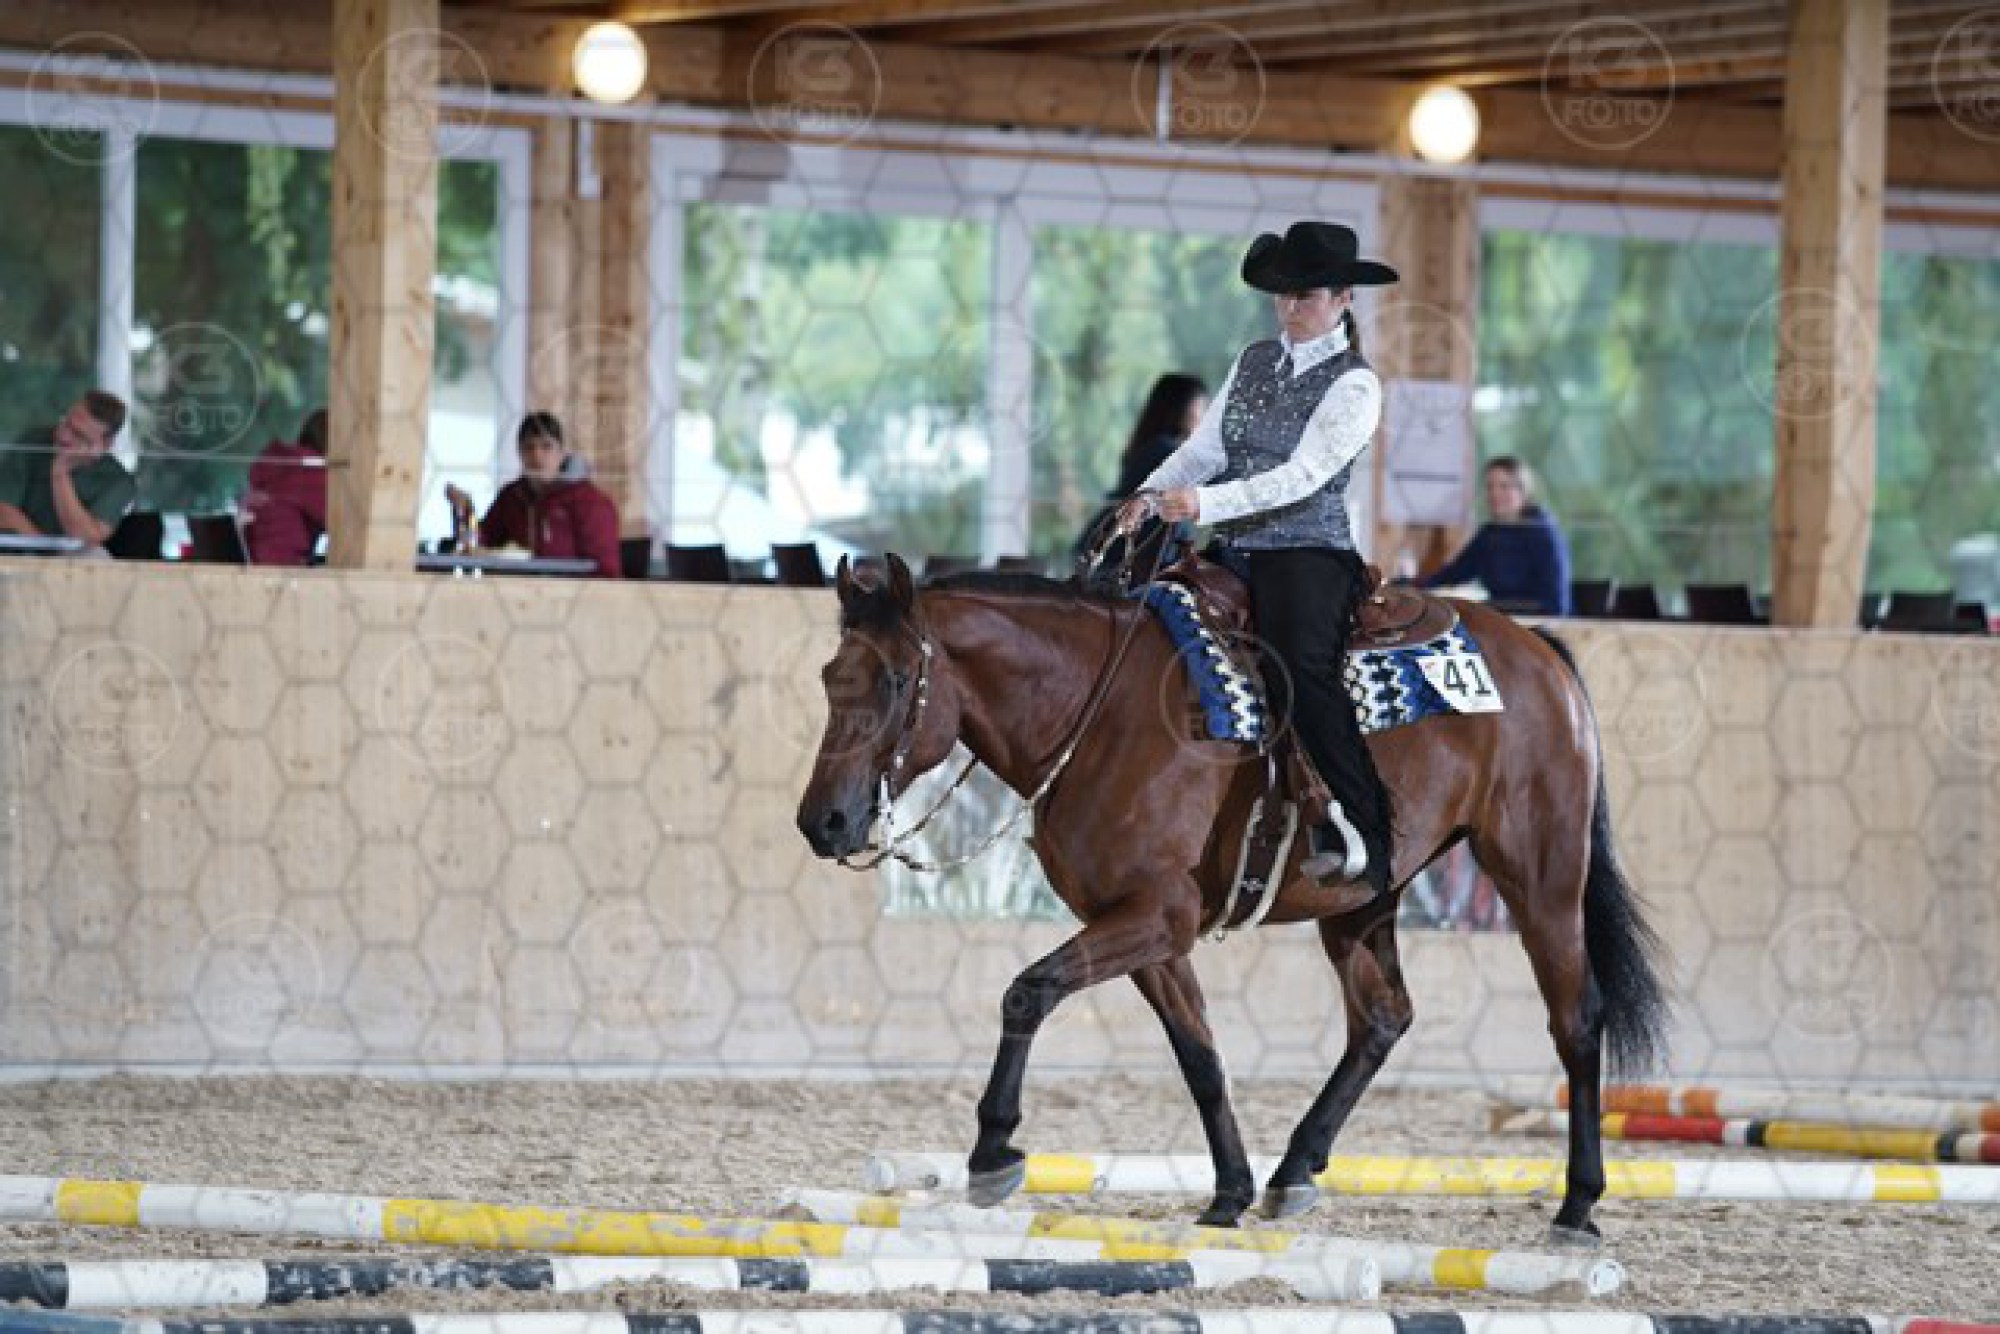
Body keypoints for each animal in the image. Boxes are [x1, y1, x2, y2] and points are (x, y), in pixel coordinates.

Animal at [795, 552, 1668, 1243]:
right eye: (831, 679)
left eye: (897, 679)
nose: (822, 821)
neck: (1096, 712)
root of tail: (1540, 649)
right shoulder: (1145, 927)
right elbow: (1199, 1054)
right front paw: (1230, 1192)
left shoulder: (1157, 914)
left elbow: (1027, 992)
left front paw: (992, 1152)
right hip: (1363, 901)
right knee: (1382, 1018)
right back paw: (1294, 1171)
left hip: (1540, 875)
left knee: (1575, 1020)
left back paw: (1578, 1206)